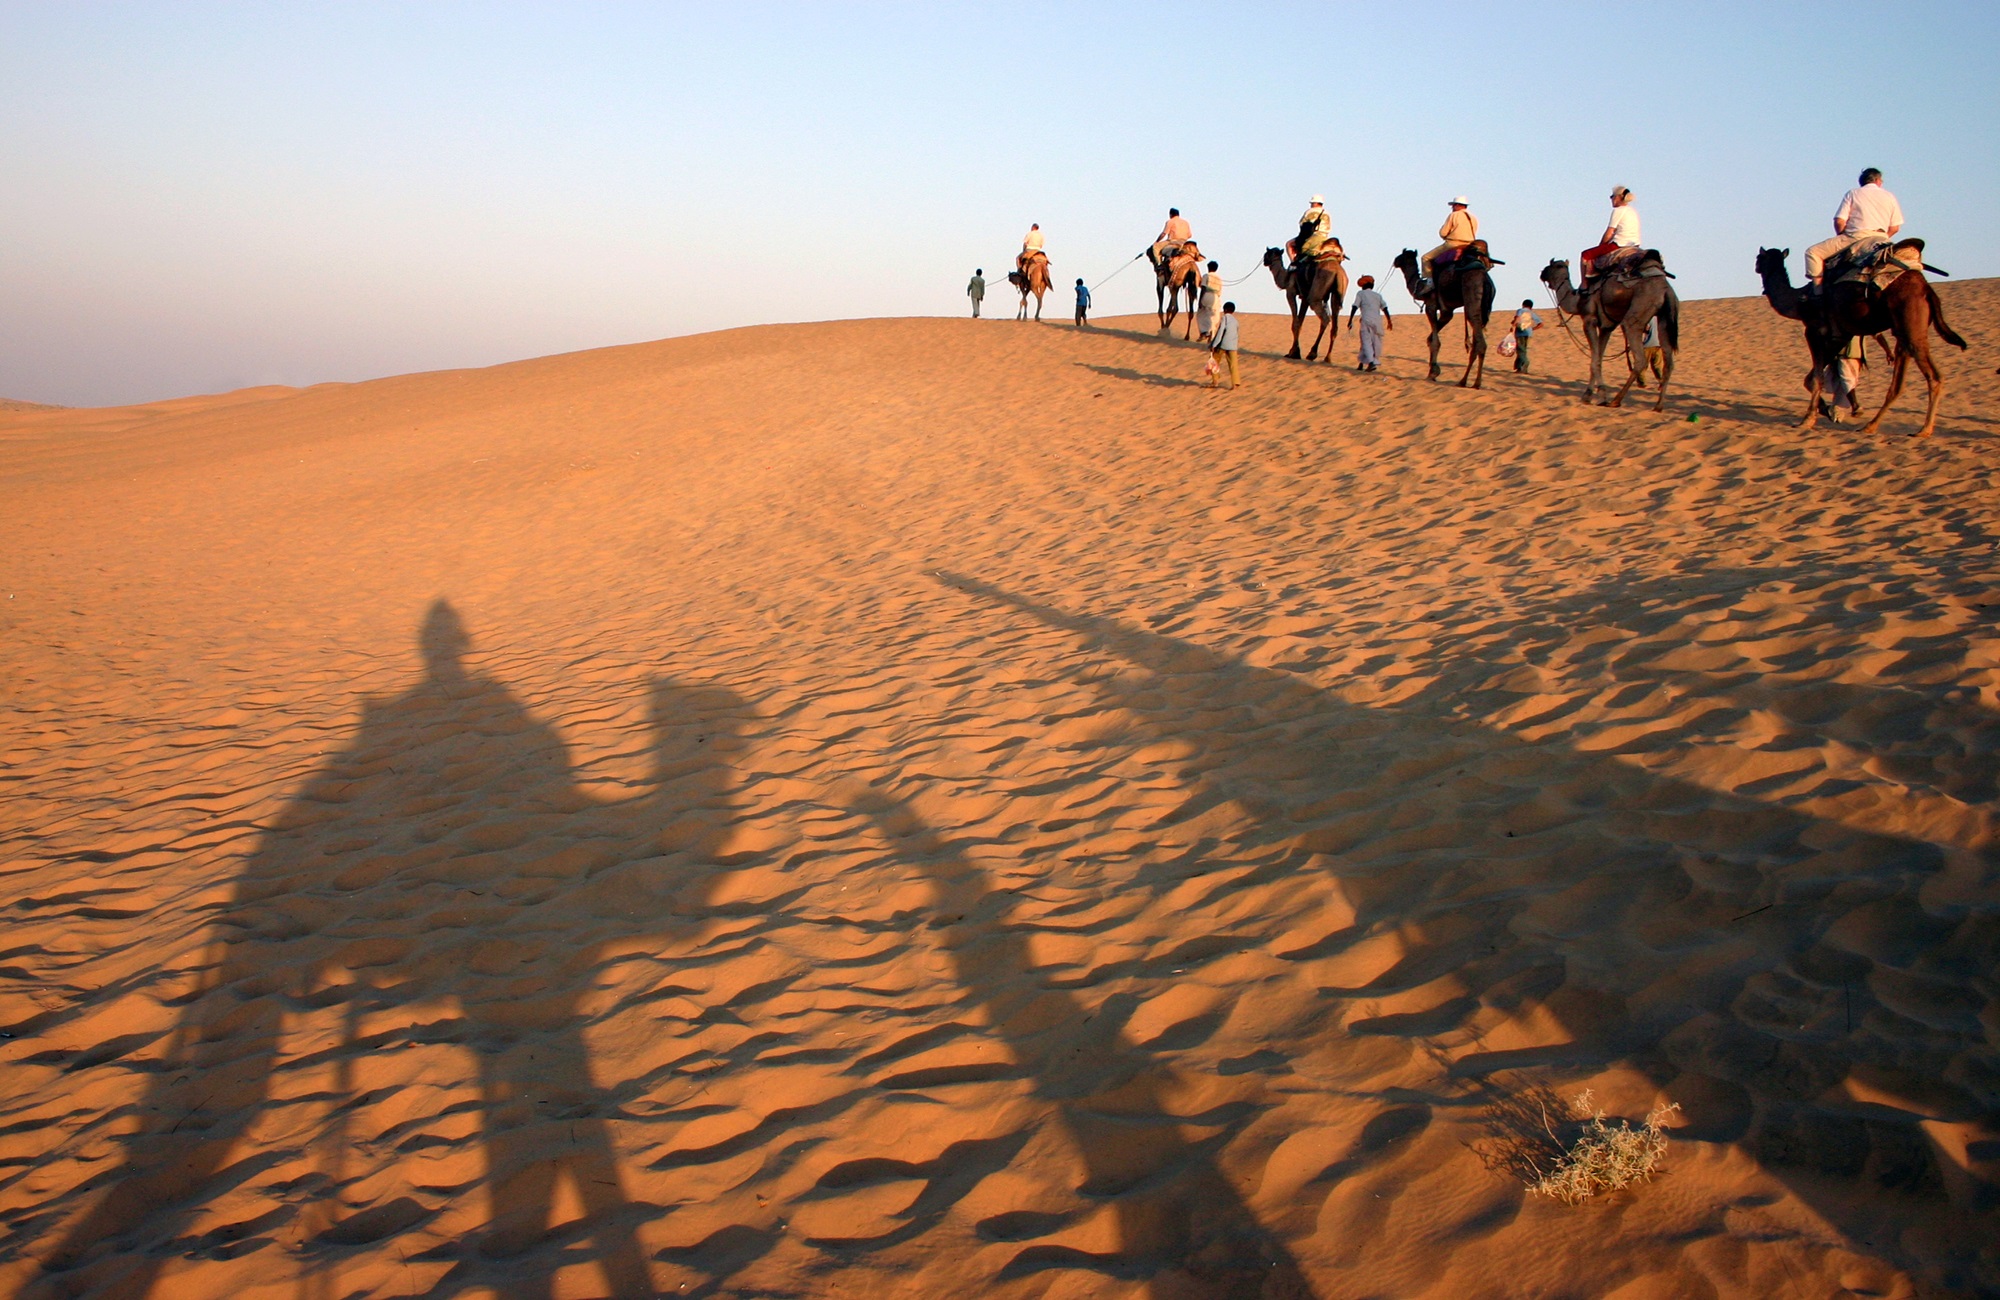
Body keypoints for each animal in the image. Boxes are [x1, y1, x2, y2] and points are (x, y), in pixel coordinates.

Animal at [1536, 254, 1680, 410]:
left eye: (1556, 265)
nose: (1542, 273)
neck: (1578, 300)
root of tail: (1665, 289)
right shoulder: (1606, 327)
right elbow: (1598, 358)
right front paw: (1588, 395)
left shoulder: (1589, 320)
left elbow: (1594, 361)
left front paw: (1601, 396)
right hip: (1665, 317)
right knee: (1669, 362)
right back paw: (1658, 406)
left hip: (1637, 313)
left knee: (1640, 358)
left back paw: (1616, 400)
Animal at [1752, 246, 1968, 438]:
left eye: (1758, 258)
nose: (1756, 266)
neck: (1799, 301)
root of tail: (1927, 290)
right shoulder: (1840, 336)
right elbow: (1810, 378)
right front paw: (1825, 410)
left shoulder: (1814, 330)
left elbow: (1815, 378)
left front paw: (1807, 420)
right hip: (1904, 332)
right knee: (1898, 383)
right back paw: (1869, 426)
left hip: (1912, 325)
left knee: (1934, 376)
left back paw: (1924, 430)